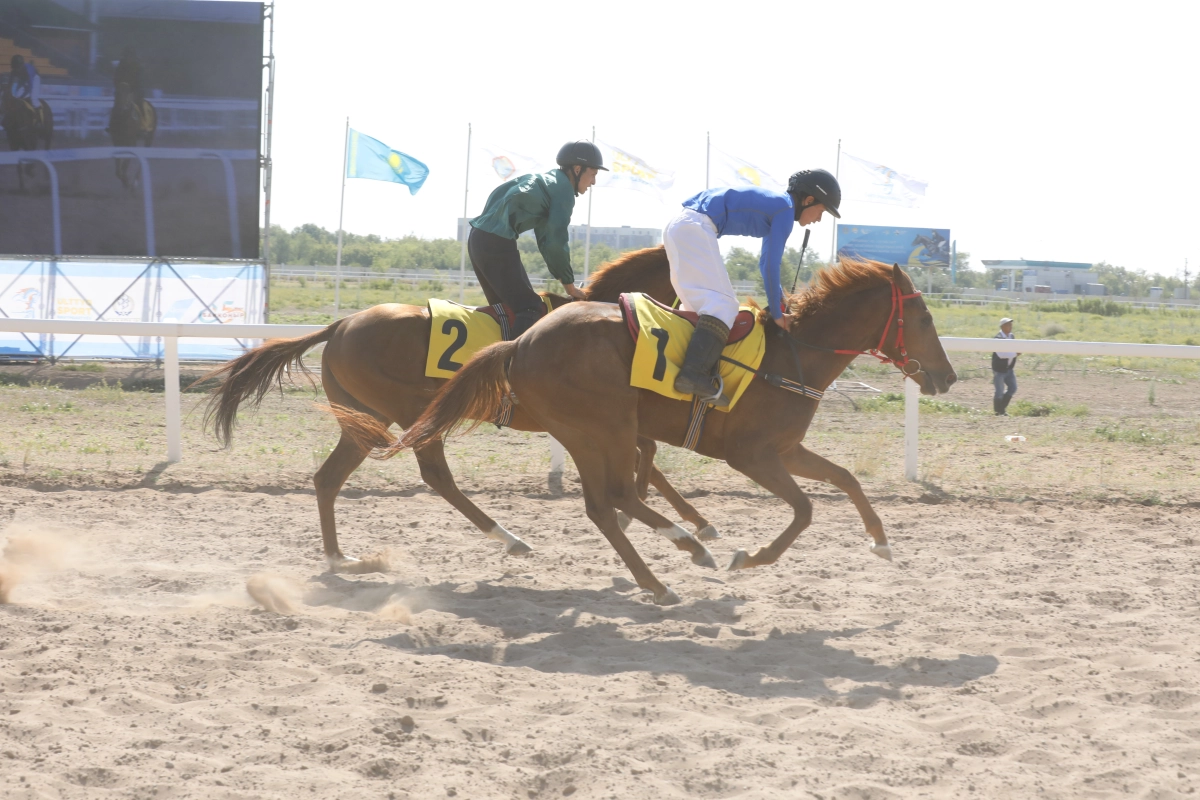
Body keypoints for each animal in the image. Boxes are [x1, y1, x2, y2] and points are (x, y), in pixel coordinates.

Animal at [204, 248, 720, 568]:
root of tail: (339, 324)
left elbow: (648, 457)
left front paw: (696, 522)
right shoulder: (597, 416)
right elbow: (647, 457)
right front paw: (673, 523)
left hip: (365, 417)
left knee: (329, 478)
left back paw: (338, 558)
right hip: (409, 411)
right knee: (436, 476)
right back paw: (509, 538)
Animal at [393, 260, 955, 604]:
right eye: (925, 317)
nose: (947, 376)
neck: (795, 356)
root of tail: (520, 343)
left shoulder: (786, 448)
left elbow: (845, 479)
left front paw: (881, 541)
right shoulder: (750, 455)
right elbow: (804, 509)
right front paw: (751, 557)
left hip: (582, 433)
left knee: (603, 506)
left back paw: (660, 578)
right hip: (609, 425)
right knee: (618, 496)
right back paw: (687, 548)